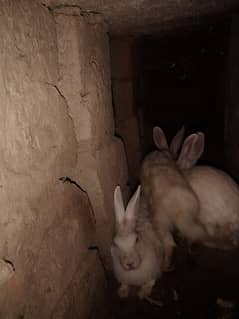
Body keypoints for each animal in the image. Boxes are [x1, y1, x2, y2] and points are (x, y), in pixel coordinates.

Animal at [141, 126, 206, 272]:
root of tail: (181, 209)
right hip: (192, 219)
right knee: (193, 234)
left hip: (160, 222)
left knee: (170, 244)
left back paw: (167, 267)